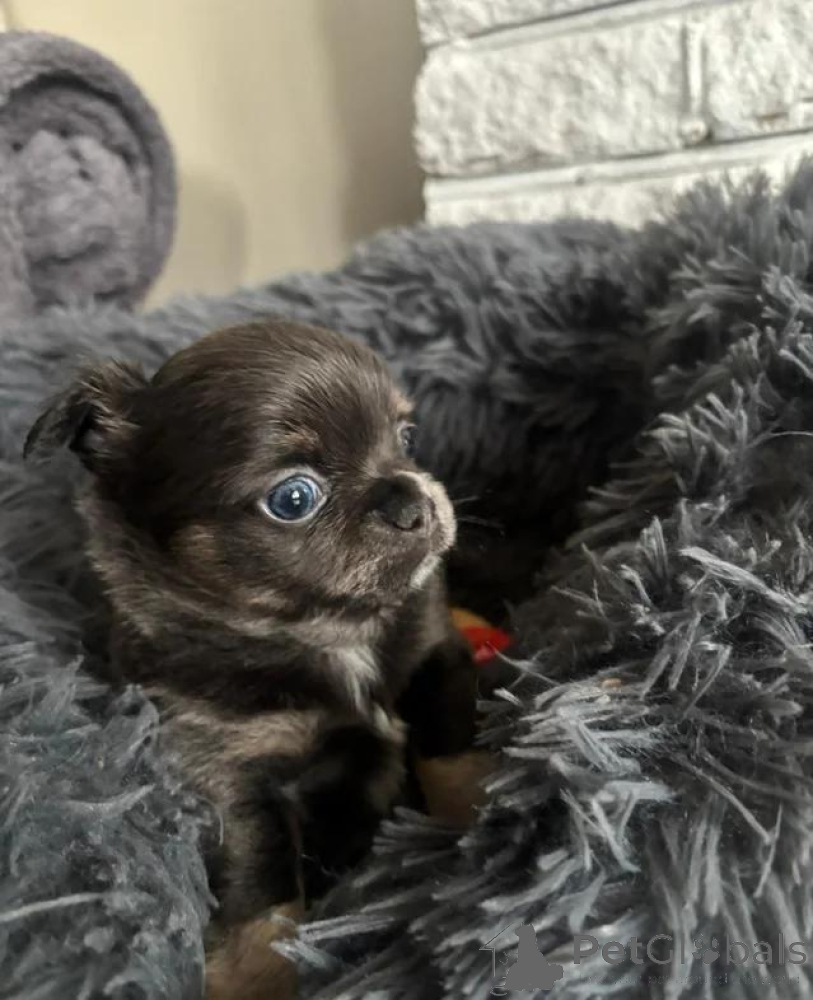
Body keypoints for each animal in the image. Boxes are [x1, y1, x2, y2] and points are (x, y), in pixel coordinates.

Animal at [25, 320, 490, 1000]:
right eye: (293, 498)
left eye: (407, 439)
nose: (412, 499)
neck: (330, 630)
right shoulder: (229, 770)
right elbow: (259, 885)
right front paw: (258, 977)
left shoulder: (437, 659)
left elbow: (454, 751)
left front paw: (479, 830)